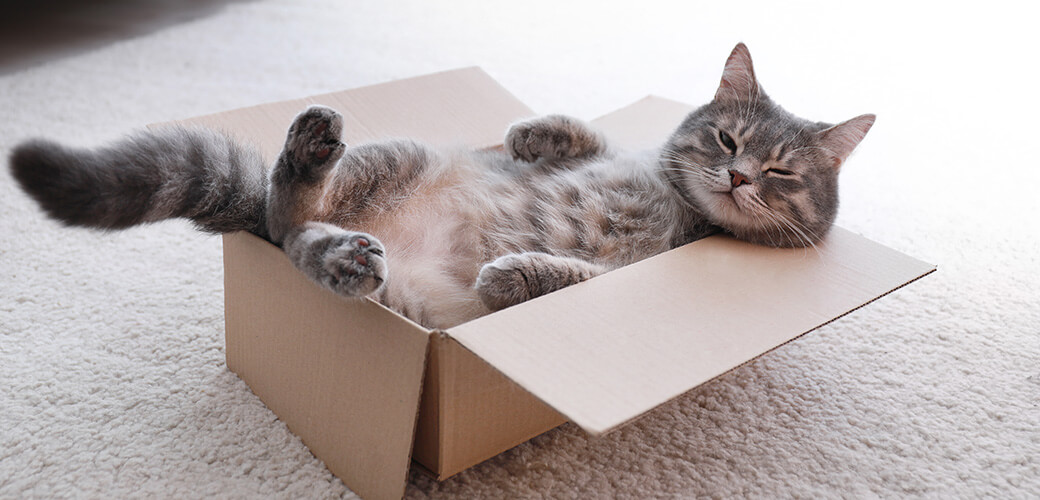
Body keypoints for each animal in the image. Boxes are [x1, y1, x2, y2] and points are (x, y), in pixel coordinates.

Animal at [10, 44, 877, 328]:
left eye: (781, 171)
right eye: (729, 139)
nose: (737, 175)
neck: (681, 204)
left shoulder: (625, 272)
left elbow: (564, 276)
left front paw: (514, 272)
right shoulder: (626, 155)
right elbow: (590, 139)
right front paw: (535, 131)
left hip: (403, 298)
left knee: (292, 239)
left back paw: (345, 258)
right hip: (398, 153)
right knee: (285, 216)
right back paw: (311, 169)